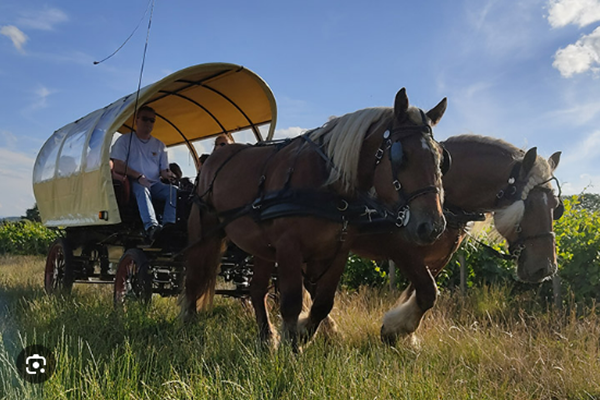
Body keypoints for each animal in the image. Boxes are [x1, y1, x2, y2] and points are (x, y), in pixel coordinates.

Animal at [185, 89, 448, 348]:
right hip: (203, 232)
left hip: (262, 247)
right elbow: (292, 303)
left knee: (257, 289)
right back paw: (188, 323)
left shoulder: (338, 251)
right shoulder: (289, 248)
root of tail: (215, 155)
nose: (433, 227)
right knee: (194, 277)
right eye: (400, 156)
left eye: (441, 159)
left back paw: (267, 337)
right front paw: (292, 350)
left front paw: (305, 333)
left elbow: (323, 302)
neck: (327, 185)